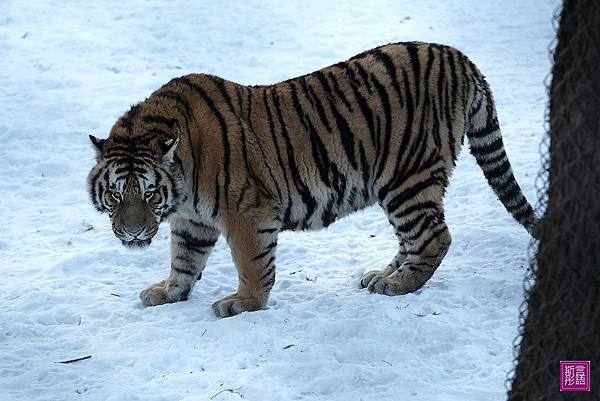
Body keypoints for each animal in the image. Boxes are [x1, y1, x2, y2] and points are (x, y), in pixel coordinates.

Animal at [88, 40, 540, 316]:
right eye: (116, 195)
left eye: (149, 193)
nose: (132, 233)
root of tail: (457, 56)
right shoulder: (191, 220)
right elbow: (183, 259)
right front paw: (168, 293)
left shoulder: (247, 212)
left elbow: (251, 263)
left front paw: (243, 303)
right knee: (414, 239)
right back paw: (382, 275)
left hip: (408, 177)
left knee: (434, 237)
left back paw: (399, 286)